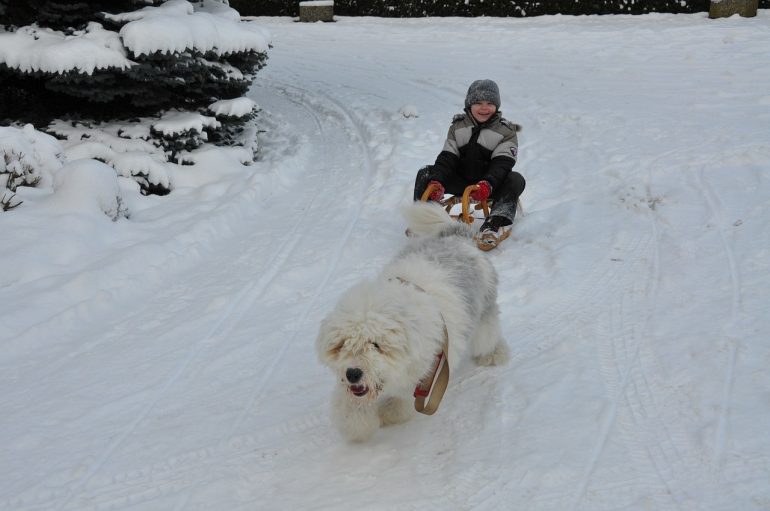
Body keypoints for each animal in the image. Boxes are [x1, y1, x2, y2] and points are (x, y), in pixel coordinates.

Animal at [316, 202, 508, 442]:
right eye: (342, 345)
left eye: (376, 345)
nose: (353, 373)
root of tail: (456, 237)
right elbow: (350, 407)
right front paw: (357, 425)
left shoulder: (427, 373)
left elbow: (401, 401)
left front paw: (389, 414)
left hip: (484, 313)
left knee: (488, 336)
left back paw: (494, 355)